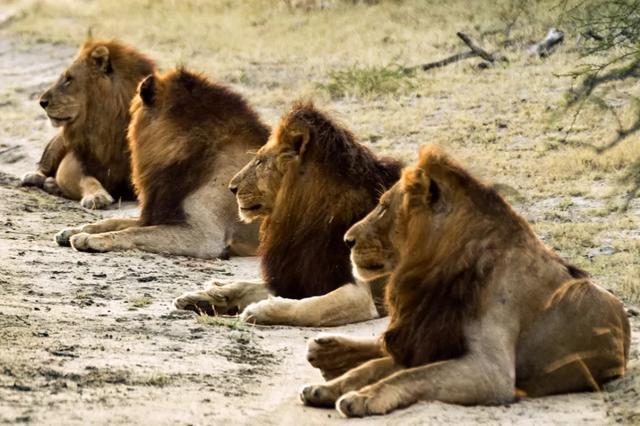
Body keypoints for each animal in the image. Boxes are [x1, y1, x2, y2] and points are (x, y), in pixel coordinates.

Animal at [21, 39, 156, 209]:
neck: (106, 125)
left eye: (68, 79)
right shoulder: (73, 162)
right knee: (43, 163)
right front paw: (97, 196)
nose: (42, 102)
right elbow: (87, 179)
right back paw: (36, 177)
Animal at [52, 68, 268, 258]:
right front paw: (73, 231)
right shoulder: (160, 212)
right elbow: (115, 221)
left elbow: (134, 232)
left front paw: (89, 239)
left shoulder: (204, 236)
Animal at [172, 100, 402, 326]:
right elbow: (247, 285)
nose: (232, 188)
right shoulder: (299, 277)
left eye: (260, 161)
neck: (305, 216)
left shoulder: (360, 295)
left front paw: (259, 310)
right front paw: (205, 297)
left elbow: (310, 309)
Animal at [300, 145, 632, 418]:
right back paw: (327, 352)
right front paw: (327, 390)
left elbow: (410, 375)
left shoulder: (491, 371)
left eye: (383, 206)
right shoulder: (431, 341)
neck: (439, 268)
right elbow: (371, 369)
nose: (347, 240)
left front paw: (362, 398)